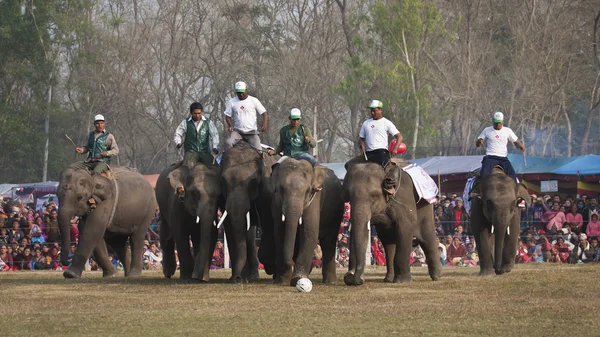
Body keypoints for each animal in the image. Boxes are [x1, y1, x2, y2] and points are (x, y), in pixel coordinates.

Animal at [219, 140, 278, 282]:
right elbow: (230, 224)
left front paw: (270, 266)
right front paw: (237, 278)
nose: (237, 278)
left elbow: (268, 219)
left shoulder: (266, 189)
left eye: (253, 181)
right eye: (223, 180)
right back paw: (250, 277)